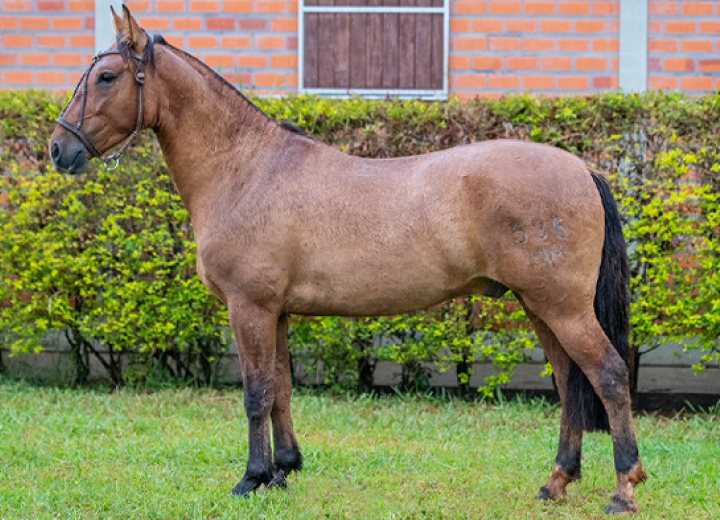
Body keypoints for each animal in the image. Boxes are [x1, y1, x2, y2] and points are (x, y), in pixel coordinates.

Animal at [49, 6, 648, 512]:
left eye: (107, 78)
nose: (60, 149)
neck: (245, 168)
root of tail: (581, 168)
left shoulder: (249, 308)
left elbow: (255, 393)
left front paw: (251, 478)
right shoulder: (276, 312)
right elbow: (281, 388)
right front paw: (284, 470)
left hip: (563, 307)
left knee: (608, 374)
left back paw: (624, 489)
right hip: (538, 306)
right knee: (570, 380)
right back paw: (557, 482)